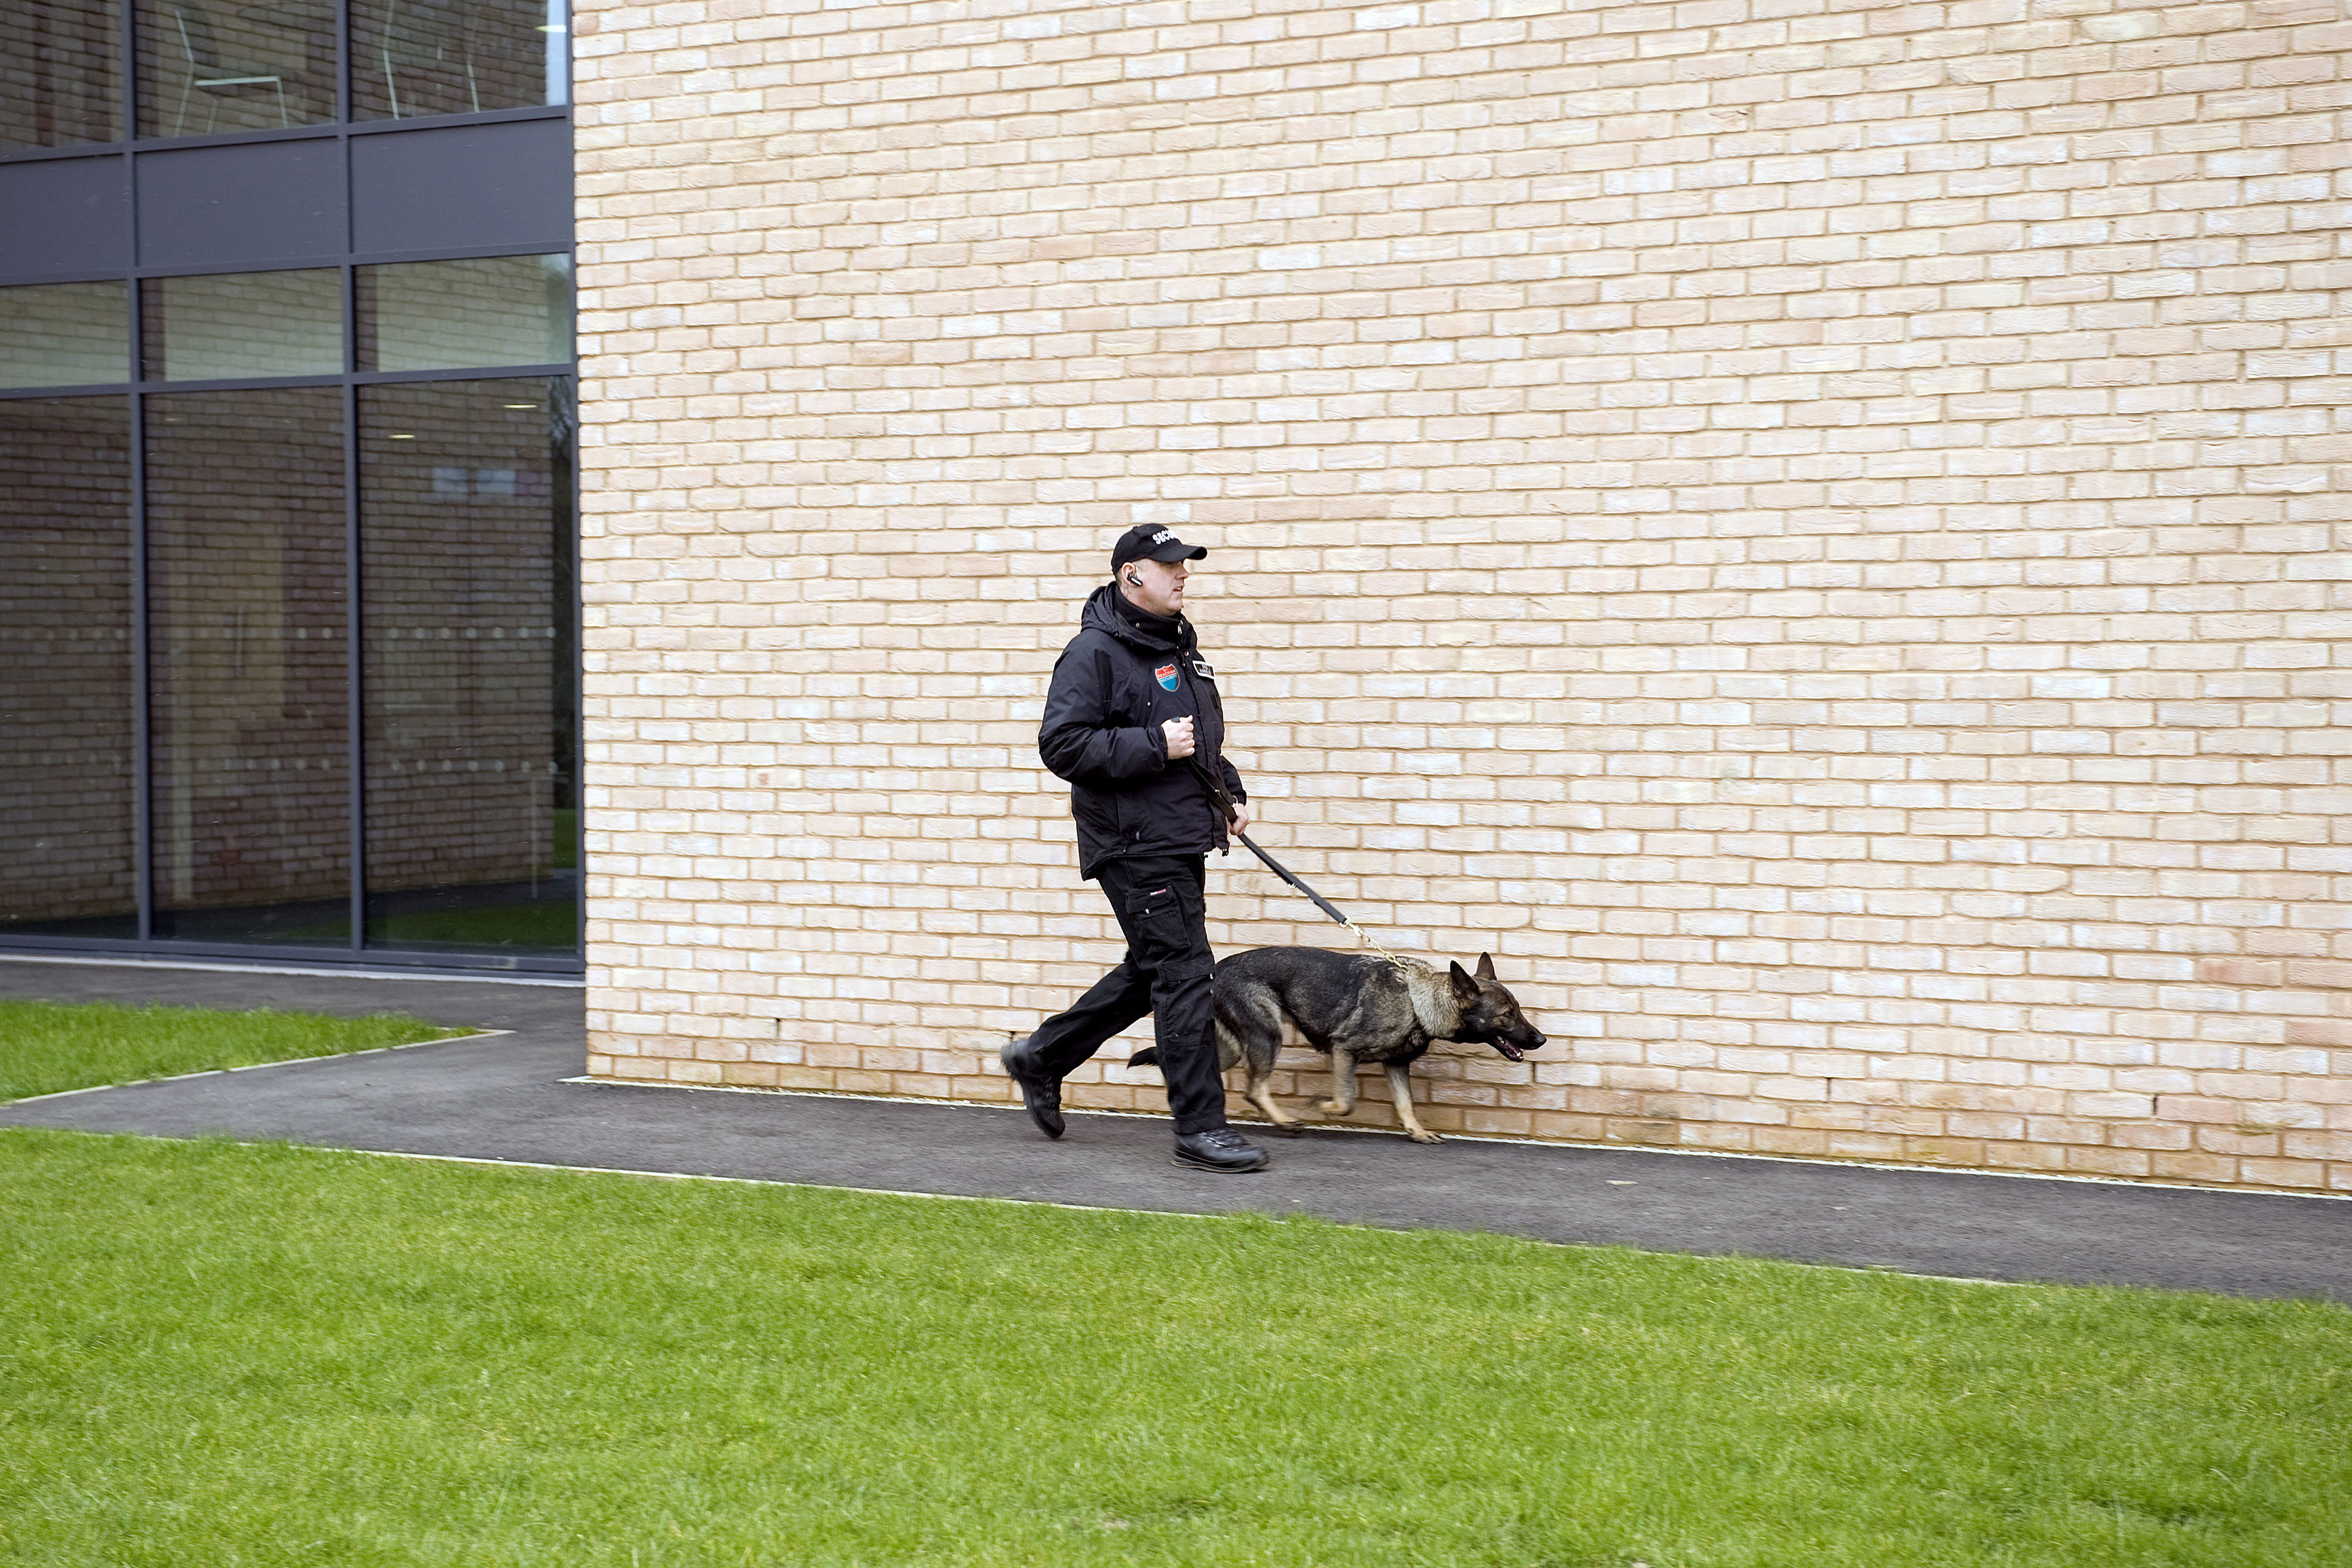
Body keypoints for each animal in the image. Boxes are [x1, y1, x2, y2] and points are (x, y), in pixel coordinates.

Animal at [1134, 949, 1552, 1147]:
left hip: (1237, 1047)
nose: (1541, 1040)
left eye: (1518, 1009)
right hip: (1268, 1035)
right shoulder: (1343, 1051)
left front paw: (1417, 1132)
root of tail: (1215, 971)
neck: (1418, 1002)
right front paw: (1320, 1106)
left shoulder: (1396, 1066)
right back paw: (1285, 1120)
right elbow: (1346, 1101)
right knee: (1255, 1088)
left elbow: (1406, 1105)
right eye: (1507, 1015)